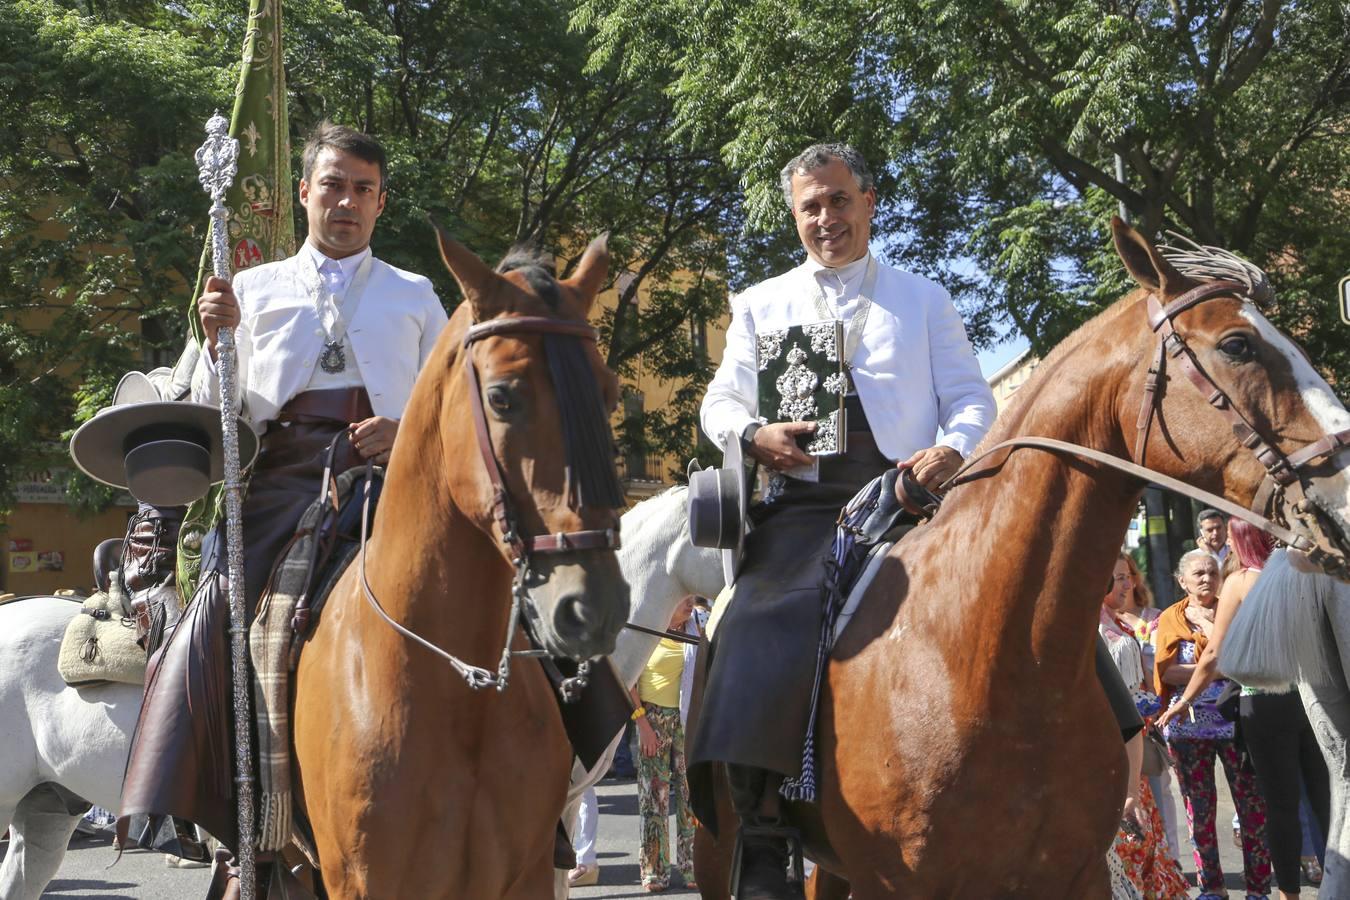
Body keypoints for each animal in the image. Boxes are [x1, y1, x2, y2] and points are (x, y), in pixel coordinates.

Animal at [292, 229, 629, 895]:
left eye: (607, 395)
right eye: (500, 397)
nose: (592, 607)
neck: (455, 690)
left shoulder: (526, 877)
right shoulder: (362, 881)